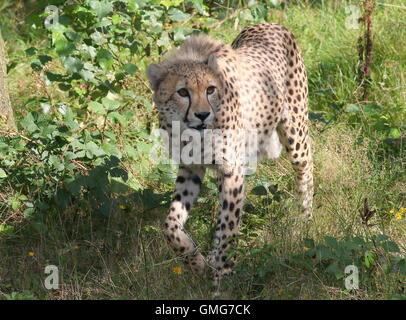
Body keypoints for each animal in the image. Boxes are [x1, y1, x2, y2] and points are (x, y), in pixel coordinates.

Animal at [147, 22, 314, 286]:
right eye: (182, 92)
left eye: (210, 89)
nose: (202, 114)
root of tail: (271, 23)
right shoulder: (191, 167)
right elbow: (170, 225)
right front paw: (196, 261)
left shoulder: (232, 170)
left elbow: (228, 226)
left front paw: (222, 273)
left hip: (295, 131)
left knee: (306, 166)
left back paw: (305, 218)